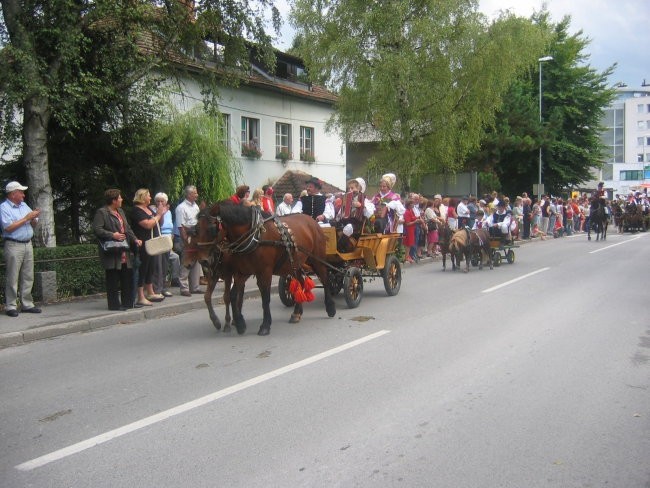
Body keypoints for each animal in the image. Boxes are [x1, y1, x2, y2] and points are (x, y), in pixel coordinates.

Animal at [204, 201, 336, 336]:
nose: (205, 260)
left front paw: (265, 325)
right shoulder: (242, 272)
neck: (255, 236)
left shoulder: (264, 272)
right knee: (301, 281)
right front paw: (239, 323)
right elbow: (232, 295)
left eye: (211, 229)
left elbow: (265, 297)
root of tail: (312, 221)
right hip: (297, 263)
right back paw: (297, 313)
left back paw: (330, 307)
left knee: (325, 279)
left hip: (317, 260)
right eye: (197, 228)